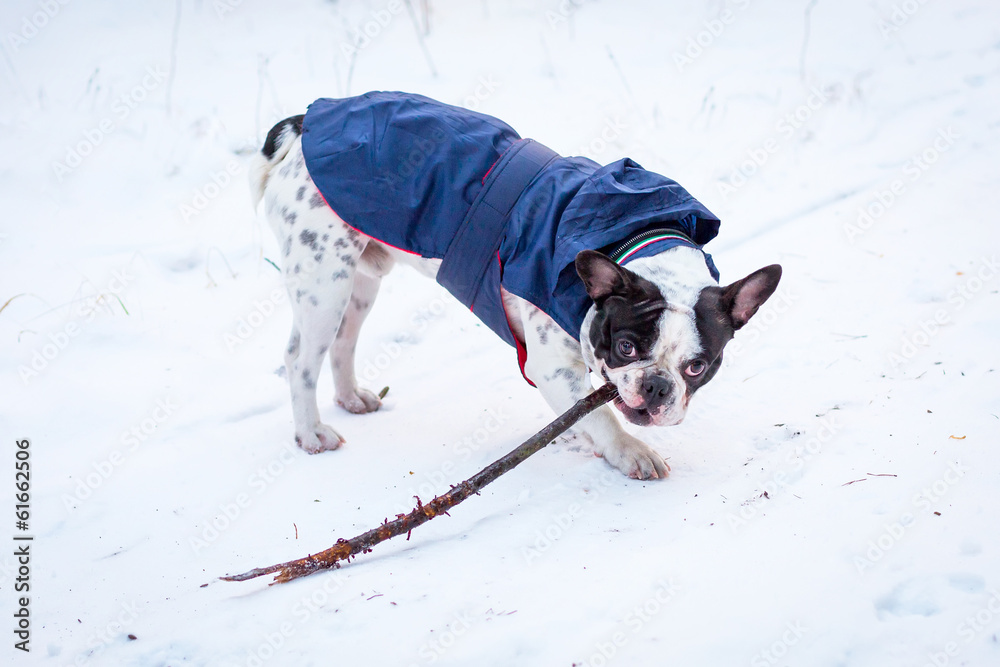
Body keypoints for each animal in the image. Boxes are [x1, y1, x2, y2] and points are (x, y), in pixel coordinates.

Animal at [252, 92, 780, 480]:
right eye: (626, 348)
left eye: (698, 367)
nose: (656, 387)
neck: (633, 238)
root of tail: (303, 125)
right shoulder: (551, 365)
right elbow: (602, 415)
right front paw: (628, 450)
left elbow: (585, 414)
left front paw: (586, 439)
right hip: (325, 279)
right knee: (300, 359)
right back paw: (311, 433)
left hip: (357, 282)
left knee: (341, 342)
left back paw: (350, 399)